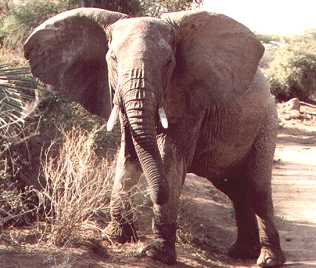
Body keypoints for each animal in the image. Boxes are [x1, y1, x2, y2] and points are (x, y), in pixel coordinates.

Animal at [24, 7, 286, 266]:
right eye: (113, 59)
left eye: (169, 62)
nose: (156, 196)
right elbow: (127, 154)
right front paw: (115, 236)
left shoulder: (190, 104)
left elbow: (169, 160)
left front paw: (154, 253)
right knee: (235, 189)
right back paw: (242, 253)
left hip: (267, 124)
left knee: (257, 188)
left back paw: (267, 259)